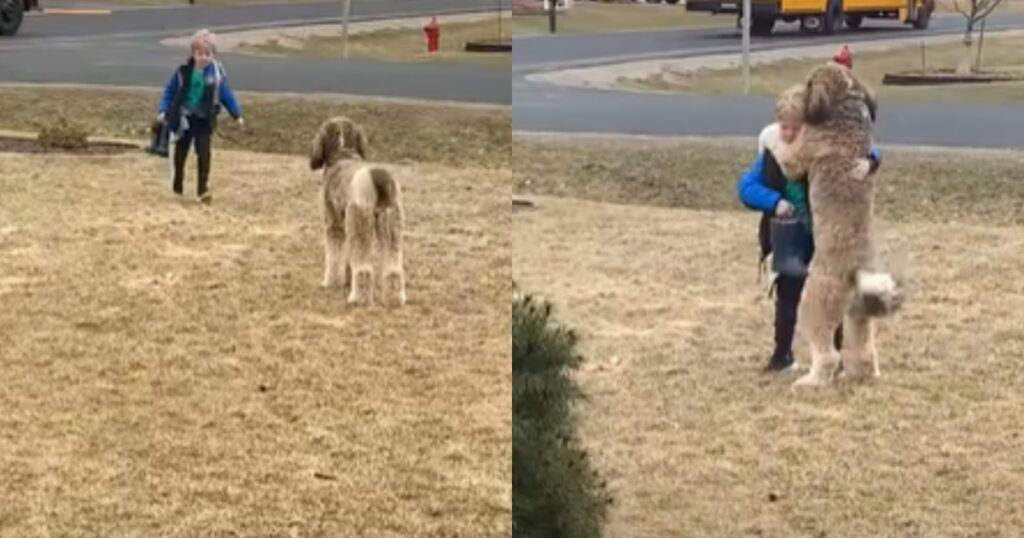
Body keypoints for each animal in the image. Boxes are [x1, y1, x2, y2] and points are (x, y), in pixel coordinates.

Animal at [309, 116, 405, 305]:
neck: (342, 153)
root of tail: (376, 178)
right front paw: (346, 280)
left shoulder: (334, 224)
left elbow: (335, 254)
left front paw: (331, 282)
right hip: (391, 227)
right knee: (393, 268)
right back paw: (393, 299)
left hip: (360, 226)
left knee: (363, 268)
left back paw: (358, 298)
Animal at [774, 65, 905, 387]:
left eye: (810, 83)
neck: (845, 107)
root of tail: (856, 272)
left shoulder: (800, 154)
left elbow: (787, 153)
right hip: (857, 315)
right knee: (863, 349)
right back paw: (860, 374)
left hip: (813, 304)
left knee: (828, 354)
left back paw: (811, 381)